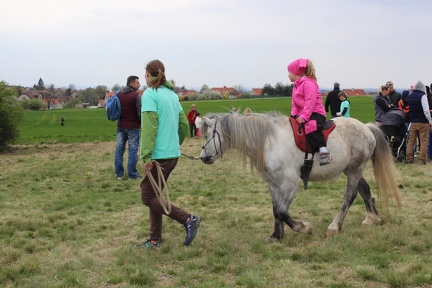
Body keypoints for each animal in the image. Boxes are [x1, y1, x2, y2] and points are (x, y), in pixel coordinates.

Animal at [199, 111, 402, 242]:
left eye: (209, 135)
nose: (202, 157)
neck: (270, 142)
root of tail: (366, 127)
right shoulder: (273, 183)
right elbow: (276, 209)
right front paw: (276, 236)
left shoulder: (290, 183)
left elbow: (282, 211)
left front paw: (303, 228)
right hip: (352, 169)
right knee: (364, 190)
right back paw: (372, 218)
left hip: (354, 169)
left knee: (350, 196)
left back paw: (334, 227)